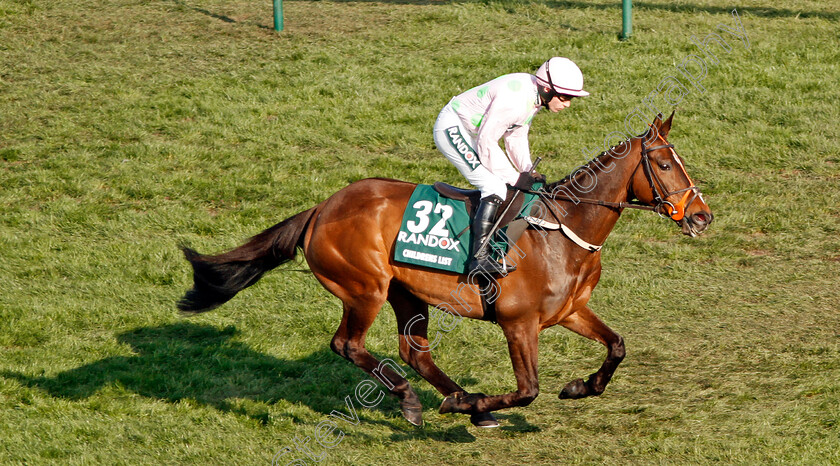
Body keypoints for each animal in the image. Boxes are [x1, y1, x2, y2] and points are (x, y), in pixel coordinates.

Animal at [179, 114, 716, 428]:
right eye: (665, 164)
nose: (702, 216)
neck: (561, 232)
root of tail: (320, 209)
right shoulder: (518, 324)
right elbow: (527, 391)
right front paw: (479, 404)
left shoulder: (568, 311)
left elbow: (617, 345)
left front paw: (581, 386)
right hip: (365, 290)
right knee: (347, 345)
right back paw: (428, 402)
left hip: (406, 293)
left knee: (413, 352)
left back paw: (456, 399)